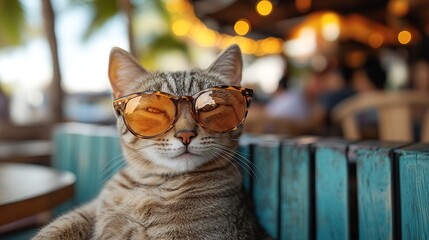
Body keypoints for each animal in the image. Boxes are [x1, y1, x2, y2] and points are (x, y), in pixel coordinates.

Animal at [33, 44, 266, 239]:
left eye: (209, 106)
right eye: (154, 109)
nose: (185, 134)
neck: (149, 189)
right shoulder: (88, 211)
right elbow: (61, 224)